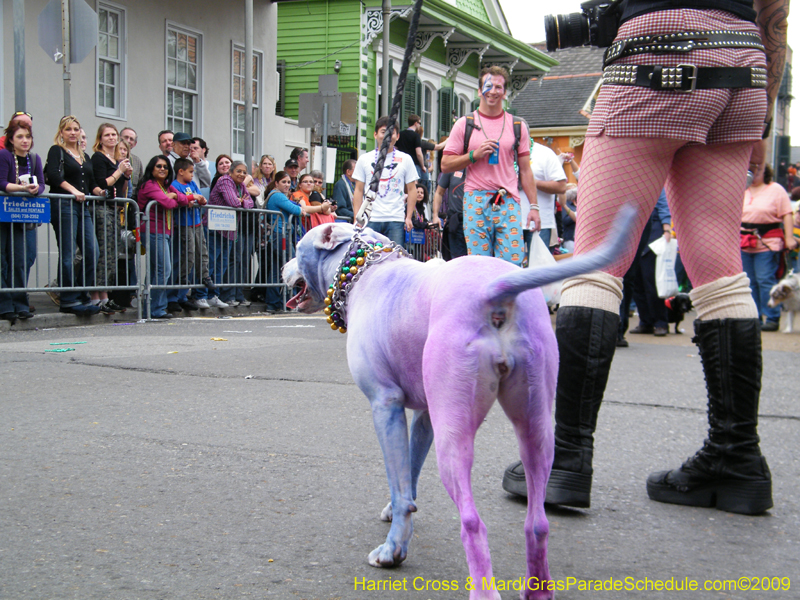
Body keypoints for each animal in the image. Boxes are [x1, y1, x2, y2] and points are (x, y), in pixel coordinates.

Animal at [284, 209, 636, 596]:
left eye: (297, 246)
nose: (283, 268)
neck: (366, 268)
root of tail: (494, 290)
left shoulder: (385, 406)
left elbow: (400, 482)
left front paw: (394, 547)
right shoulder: (425, 415)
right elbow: (409, 472)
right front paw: (398, 512)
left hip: (454, 438)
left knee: (472, 522)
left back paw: (482, 589)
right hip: (536, 427)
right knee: (537, 521)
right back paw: (538, 588)